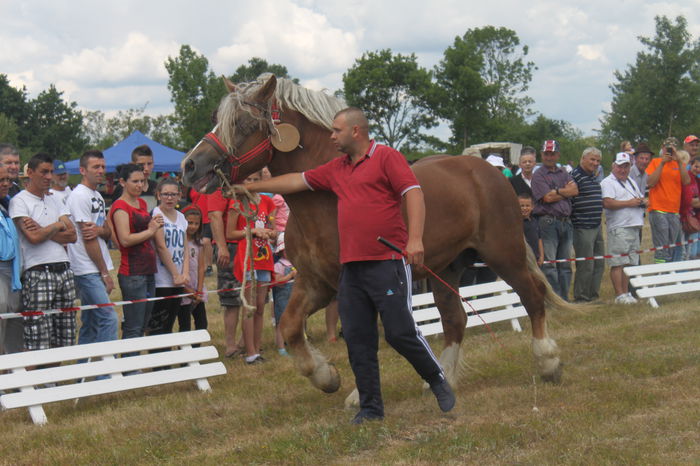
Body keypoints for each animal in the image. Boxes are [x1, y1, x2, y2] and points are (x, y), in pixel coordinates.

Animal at [182, 73, 568, 396]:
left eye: (243, 123)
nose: (190, 166)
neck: (325, 199)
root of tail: (488, 170)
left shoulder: (349, 284)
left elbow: (360, 338)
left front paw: (358, 394)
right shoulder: (314, 282)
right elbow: (291, 327)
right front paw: (326, 376)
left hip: (503, 252)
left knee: (532, 297)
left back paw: (548, 361)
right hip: (446, 268)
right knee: (455, 319)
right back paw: (443, 378)